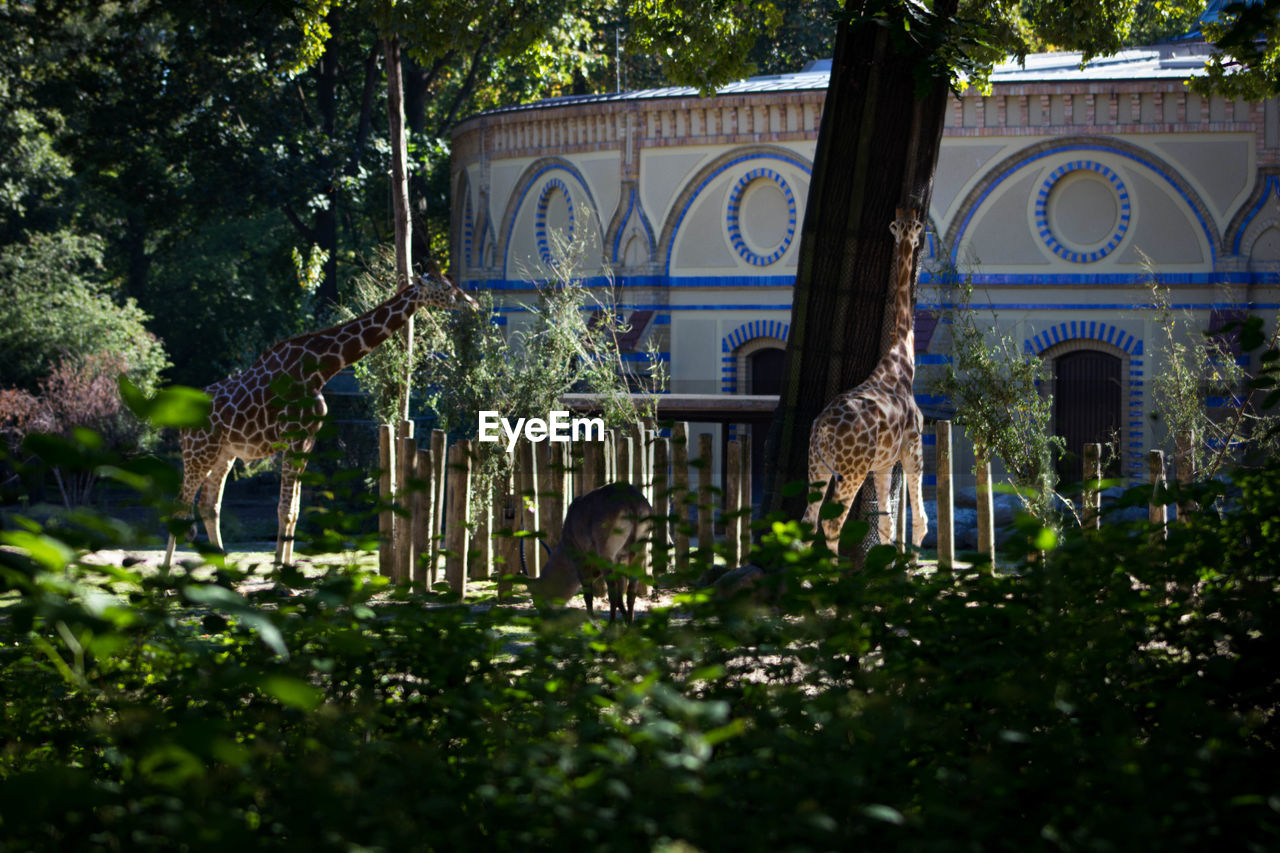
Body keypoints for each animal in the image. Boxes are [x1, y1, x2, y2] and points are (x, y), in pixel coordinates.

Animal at [162, 258, 478, 563]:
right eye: (447, 288)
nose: (472, 303)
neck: (322, 368)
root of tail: (180, 422)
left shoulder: (307, 441)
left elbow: (295, 510)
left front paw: (287, 568)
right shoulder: (293, 437)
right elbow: (284, 509)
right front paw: (278, 572)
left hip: (223, 454)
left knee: (208, 505)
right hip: (199, 452)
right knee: (179, 506)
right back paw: (166, 574)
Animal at [803, 206, 926, 550]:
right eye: (916, 227)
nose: (915, 240)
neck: (903, 358)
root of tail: (823, 431)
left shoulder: (882, 464)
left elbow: (886, 524)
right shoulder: (913, 446)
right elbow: (919, 521)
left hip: (817, 466)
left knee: (808, 520)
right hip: (851, 470)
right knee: (831, 524)